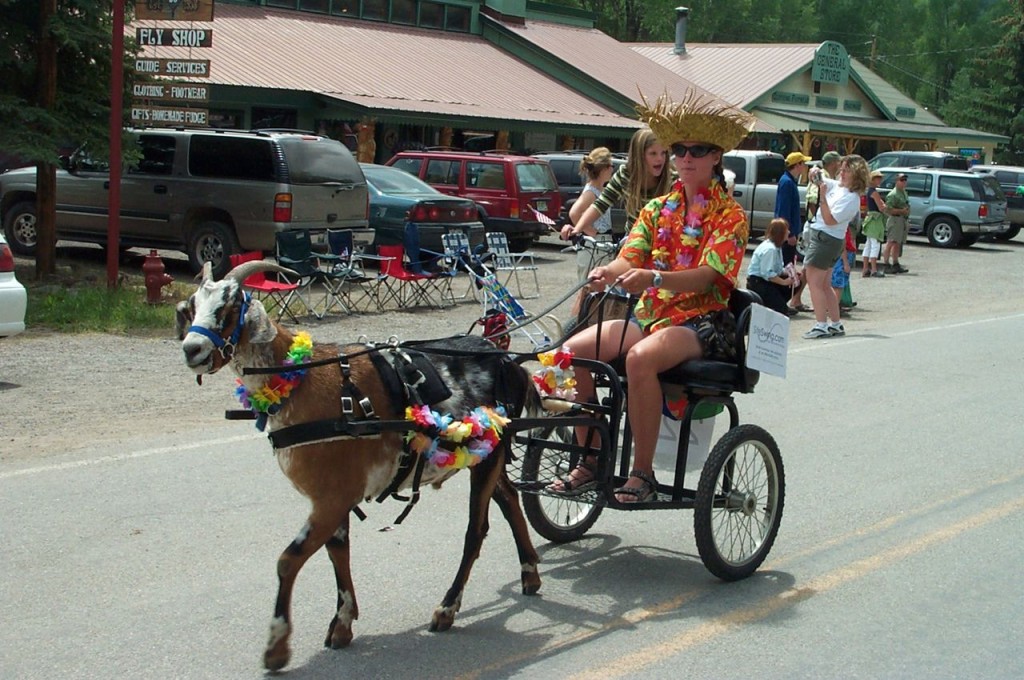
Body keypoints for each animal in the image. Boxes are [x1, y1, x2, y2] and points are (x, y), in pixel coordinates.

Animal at [176, 259, 544, 667]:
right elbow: (337, 552)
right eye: (192, 307)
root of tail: (507, 361)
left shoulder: (331, 498)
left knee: (475, 531)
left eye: (227, 309)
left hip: (486, 456)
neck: (300, 380)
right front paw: (341, 626)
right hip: (486, 453)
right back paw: (530, 575)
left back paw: (447, 609)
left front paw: (276, 647)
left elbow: (288, 559)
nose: (192, 349)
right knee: (510, 497)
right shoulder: (333, 496)